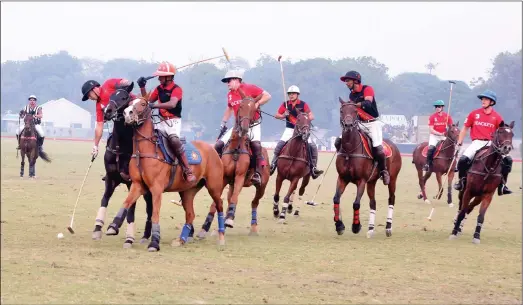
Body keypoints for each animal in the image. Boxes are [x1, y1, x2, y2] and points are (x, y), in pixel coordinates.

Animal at [90, 88, 154, 247]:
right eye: (111, 96)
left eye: (125, 98)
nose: (107, 111)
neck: (121, 148)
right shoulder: (111, 178)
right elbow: (105, 199)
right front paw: (98, 228)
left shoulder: (132, 182)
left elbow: (130, 208)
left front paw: (126, 235)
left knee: (149, 208)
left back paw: (144, 234)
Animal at [106, 94, 225, 251]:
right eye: (130, 102)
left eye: (143, 104)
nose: (127, 113)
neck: (145, 151)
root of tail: (212, 148)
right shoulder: (137, 185)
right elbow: (126, 203)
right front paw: (113, 226)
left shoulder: (156, 188)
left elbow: (155, 214)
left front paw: (154, 243)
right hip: (188, 191)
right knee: (190, 214)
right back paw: (180, 240)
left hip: (214, 186)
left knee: (219, 204)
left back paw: (221, 238)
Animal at [198, 89, 270, 236]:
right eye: (241, 106)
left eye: (254, 109)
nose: (244, 129)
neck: (236, 148)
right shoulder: (224, 177)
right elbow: (216, 202)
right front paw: (205, 227)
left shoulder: (240, 177)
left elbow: (235, 198)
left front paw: (230, 219)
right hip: (231, 183)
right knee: (230, 197)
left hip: (262, 186)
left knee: (254, 202)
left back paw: (253, 227)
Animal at [334, 98, 404, 236]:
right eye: (341, 111)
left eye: (355, 111)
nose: (348, 126)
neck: (350, 150)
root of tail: (394, 144)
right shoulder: (342, 178)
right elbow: (336, 199)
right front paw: (339, 225)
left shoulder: (361, 180)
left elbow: (356, 203)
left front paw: (356, 226)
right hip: (371, 182)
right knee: (373, 202)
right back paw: (371, 229)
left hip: (392, 179)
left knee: (391, 198)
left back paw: (388, 227)